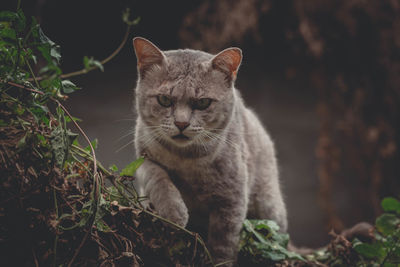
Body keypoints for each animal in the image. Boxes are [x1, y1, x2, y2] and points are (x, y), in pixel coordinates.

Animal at [133, 37, 286, 266]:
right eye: (164, 100)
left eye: (203, 103)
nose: (181, 123)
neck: (185, 159)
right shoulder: (142, 158)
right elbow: (157, 175)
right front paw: (174, 211)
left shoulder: (231, 199)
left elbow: (224, 244)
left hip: (268, 209)